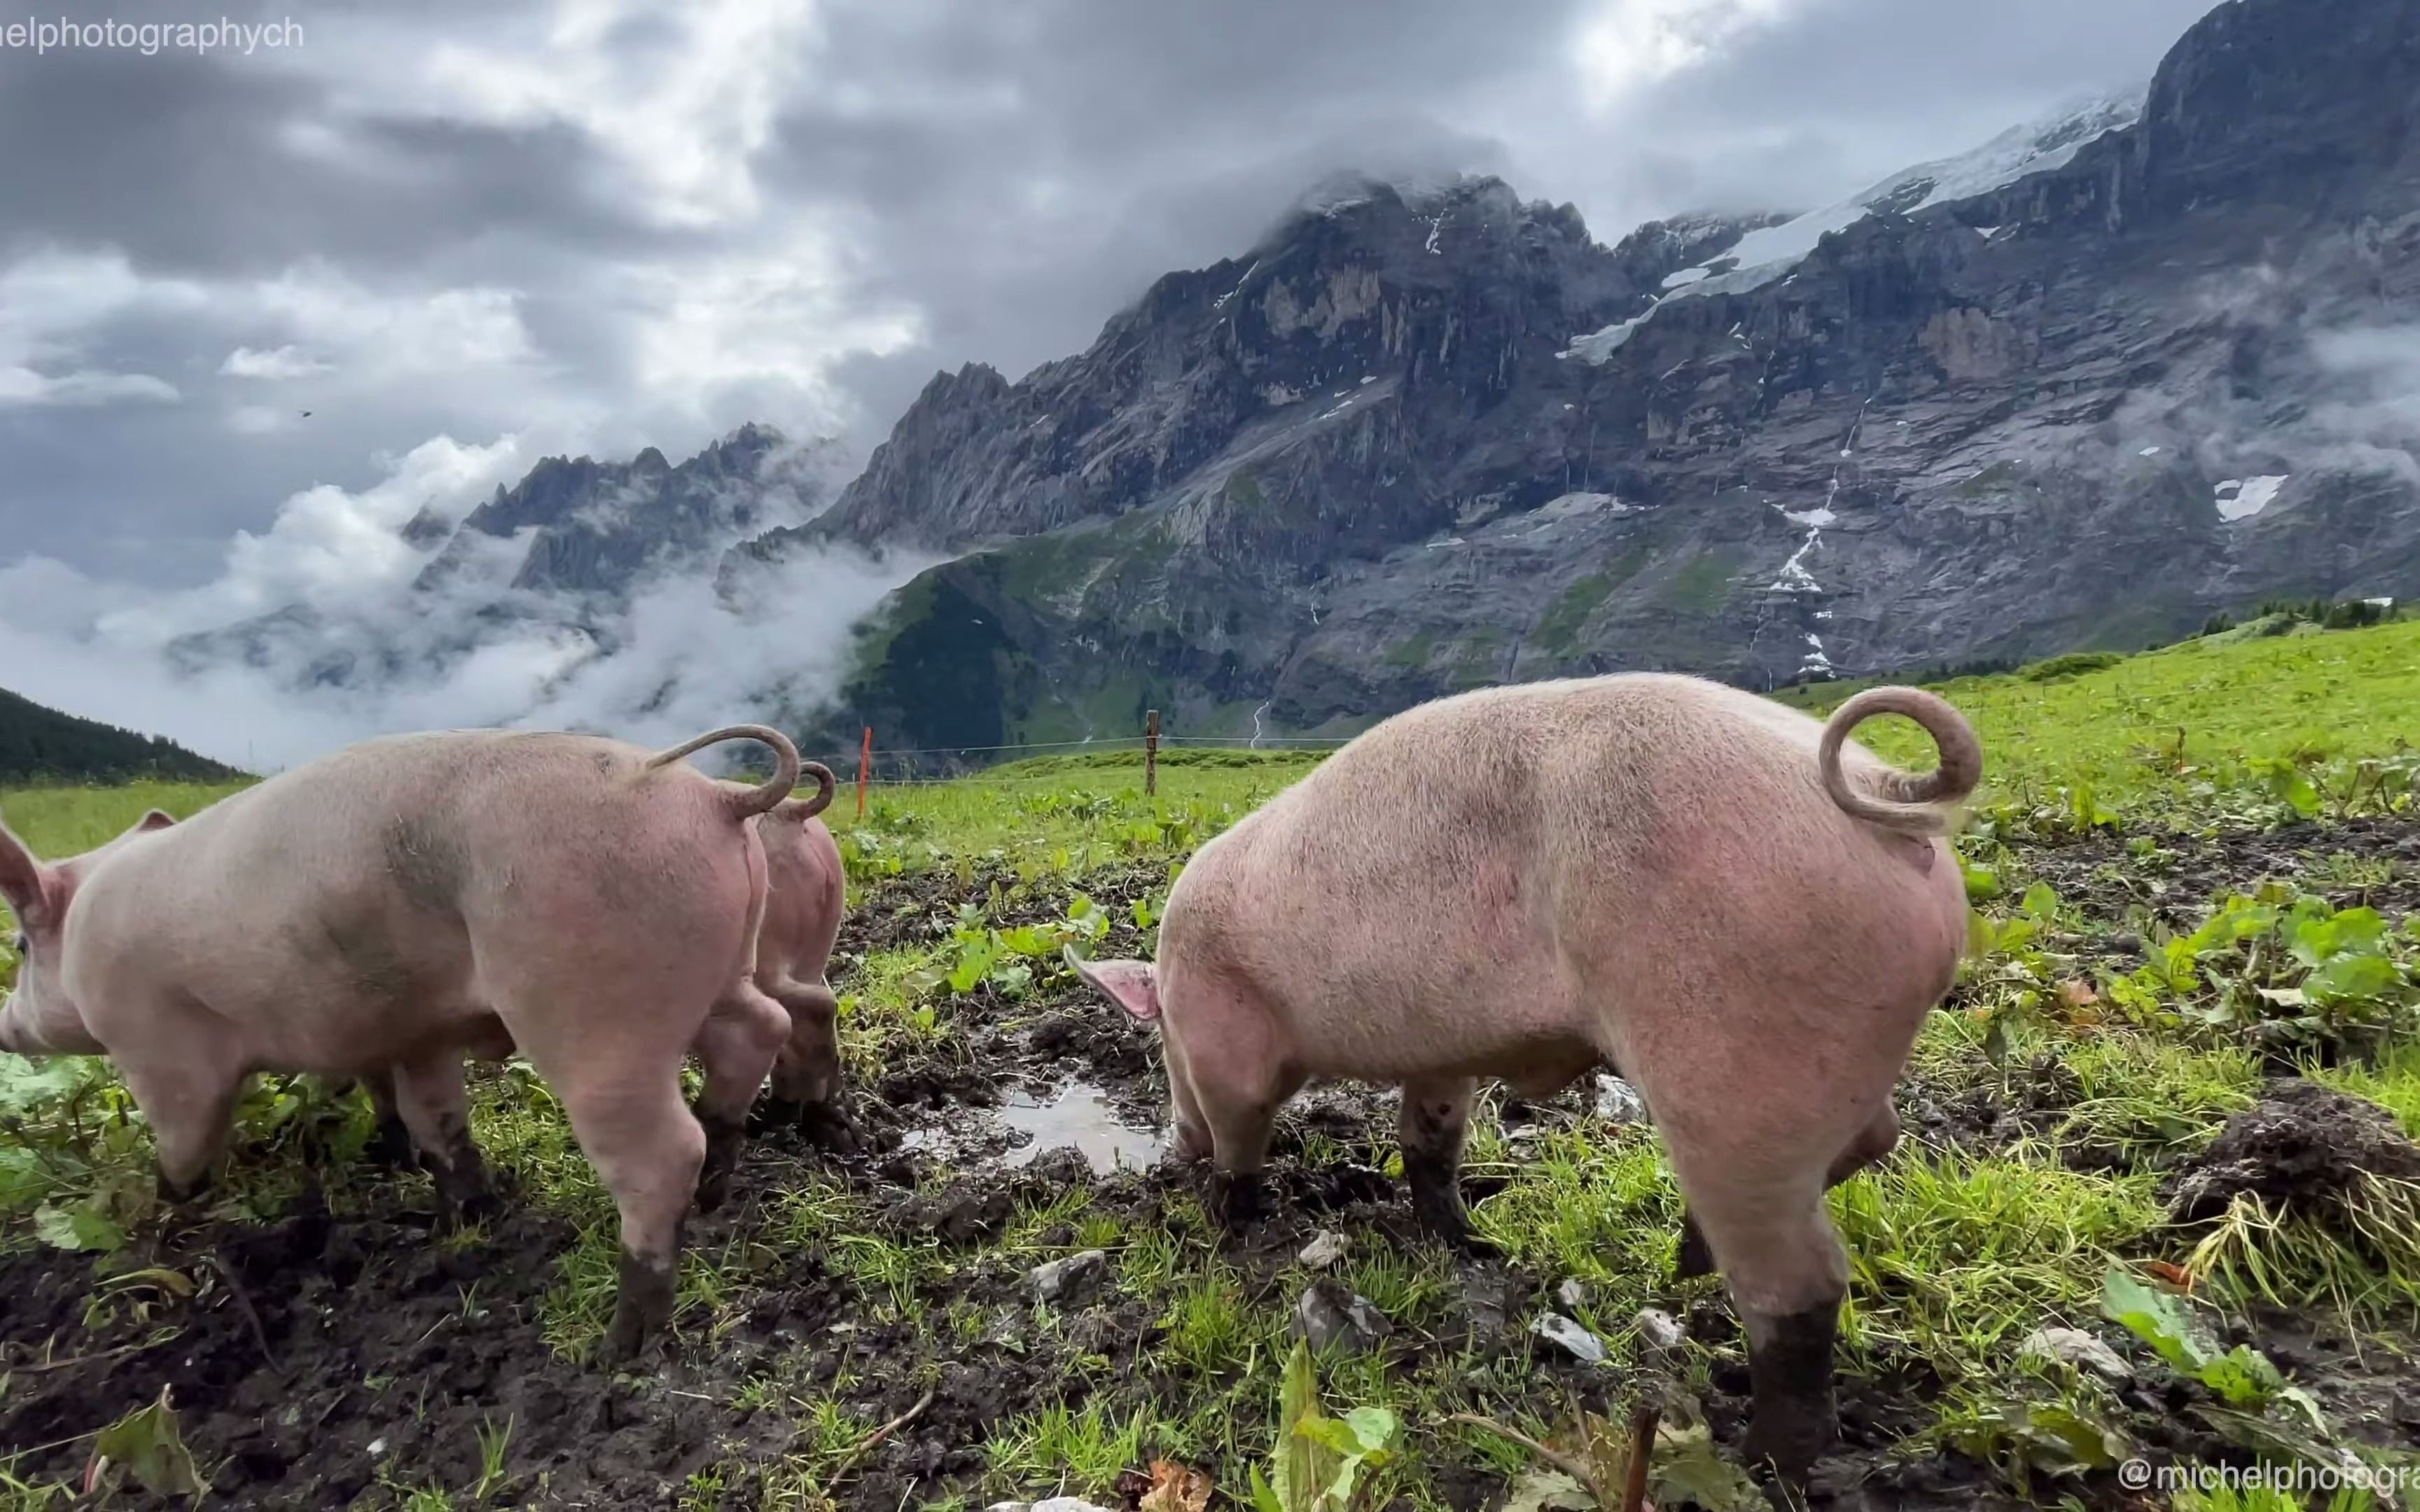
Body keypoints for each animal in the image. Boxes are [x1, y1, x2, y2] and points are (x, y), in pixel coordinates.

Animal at [0, 720, 813, 1354]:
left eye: (18, 948)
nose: (6, 1027)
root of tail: (715, 799)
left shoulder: (155, 1049)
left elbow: (183, 1143)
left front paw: (166, 1212)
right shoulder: (419, 1031)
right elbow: (433, 1118)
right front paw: (463, 1215)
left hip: (593, 1007)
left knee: (660, 1152)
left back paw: (621, 1345)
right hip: (717, 968)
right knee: (758, 1031)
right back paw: (713, 1193)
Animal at [1069, 672, 1975, 1471]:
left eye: (1160, 1044)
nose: (1173, 1149)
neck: (1176, 977)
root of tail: (1882, 790)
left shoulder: (1228, 1053)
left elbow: (1243, 1138)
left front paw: (1229, 1218)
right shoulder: (1441, 1057)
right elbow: (1428, 1144)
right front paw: (1474, 1245)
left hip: (1734, 1060)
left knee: (1803, 1281)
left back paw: (1754, 1453)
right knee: (1876, 1136)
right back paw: (1693, 1269)